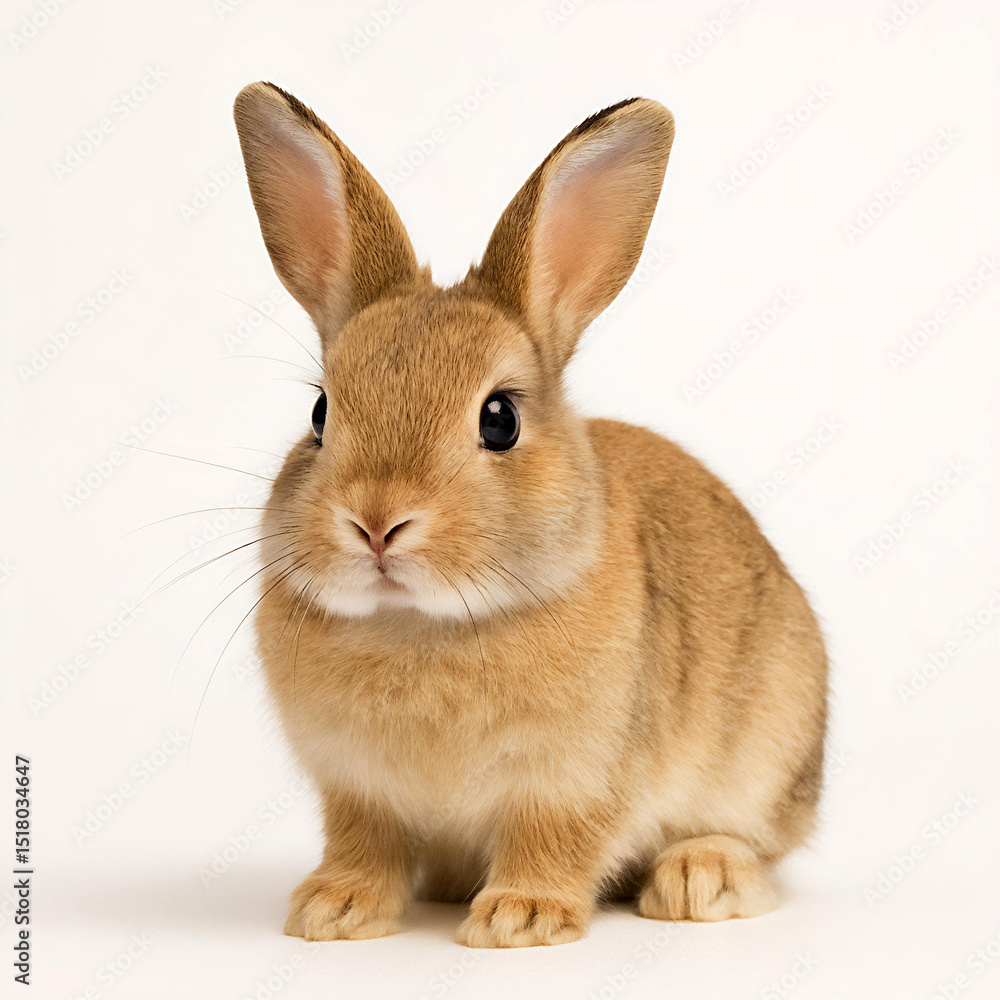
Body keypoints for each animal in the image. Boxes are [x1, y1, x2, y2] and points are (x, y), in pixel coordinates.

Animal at [233, 82, 828, 948]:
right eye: (320, 413)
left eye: (500, 420)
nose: (377, 523)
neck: (422, 625)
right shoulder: (357, 790)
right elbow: (365, 845)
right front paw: (333, 911)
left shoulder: (575, 781)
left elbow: (553, 841)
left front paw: (521, 918)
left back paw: (700, 879)